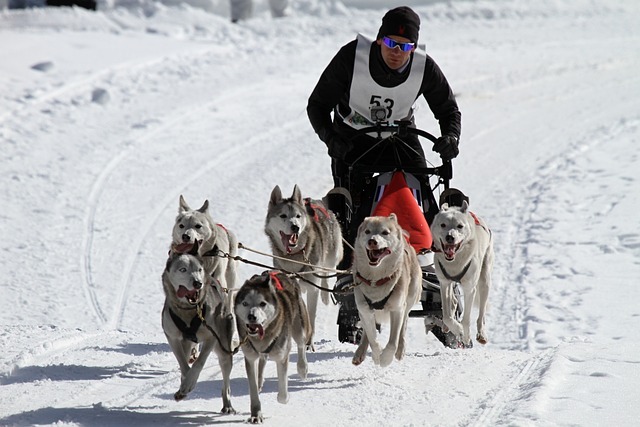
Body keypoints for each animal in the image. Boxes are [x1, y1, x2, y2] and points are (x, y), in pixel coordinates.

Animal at [161, 244, 236, 414]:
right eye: (183, 269)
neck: (189, 311)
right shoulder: (172, 337)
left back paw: (227, 404)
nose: (197, 283)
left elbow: (199, 363)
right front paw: (184, 386)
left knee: (226, 382)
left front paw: (189, 384)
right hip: (188, 342)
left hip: (224, 349)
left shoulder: (211, 337)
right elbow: (183, 364)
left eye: (199, 269)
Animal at [234, 270, 312, 424]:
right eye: (245, 303)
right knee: (262, 361)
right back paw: (260, 381)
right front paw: (256, 414)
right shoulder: (250, 357)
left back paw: (302, 368)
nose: (251, 316)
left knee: (301, 345)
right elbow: (253, 389)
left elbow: (282, 393)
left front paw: (284, 397)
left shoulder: (281, 356)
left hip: (299, 328)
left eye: (262, 303)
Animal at [264, 184, 342, 348]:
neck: (294, 257)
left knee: (325, 273)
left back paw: (325, 294)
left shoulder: (312, 288)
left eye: (298, 216)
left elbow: (311, 317)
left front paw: (309, 343)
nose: (295, 227)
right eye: (283, 216)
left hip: (331, 258)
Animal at [350, 214, 420, 368]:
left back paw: (400, 350)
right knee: (367, 332)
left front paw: (386, 359)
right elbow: (372, 338)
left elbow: (393, 342)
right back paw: (360, 352)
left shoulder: (397, 309)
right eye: (367, 231)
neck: (376, 280)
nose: (372, 241)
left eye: (385, 232)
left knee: (403, 327)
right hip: (363, 311)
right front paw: (377, 356)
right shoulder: (364, 309)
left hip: (409, 299)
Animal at [430, 201, 496, 348]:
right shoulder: (444, 283)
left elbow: (466, 319)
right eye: (443, 225)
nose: (450, 237)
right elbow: (447, 315)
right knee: (453, 303)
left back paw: (481, 334)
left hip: (485, 281)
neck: (455, 262)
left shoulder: (469, 288)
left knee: (481, 314)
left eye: (459, 226)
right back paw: (447, 327)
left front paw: (465, 336)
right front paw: (456, 328)